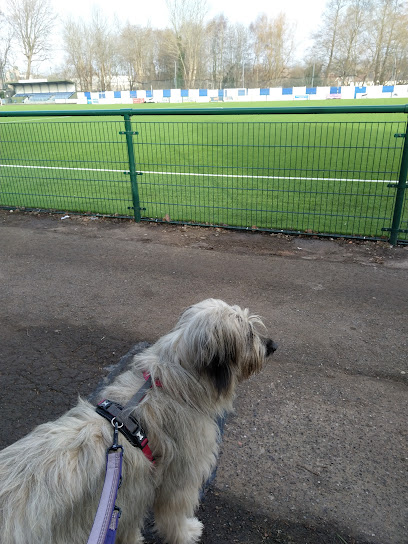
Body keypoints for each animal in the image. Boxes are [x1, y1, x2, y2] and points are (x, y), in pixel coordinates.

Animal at [0, 300, 278, 540]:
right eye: (249, 334)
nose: (273, 346)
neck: (172, 384)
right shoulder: (179, 478)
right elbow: (173, 513)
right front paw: (185, 533)